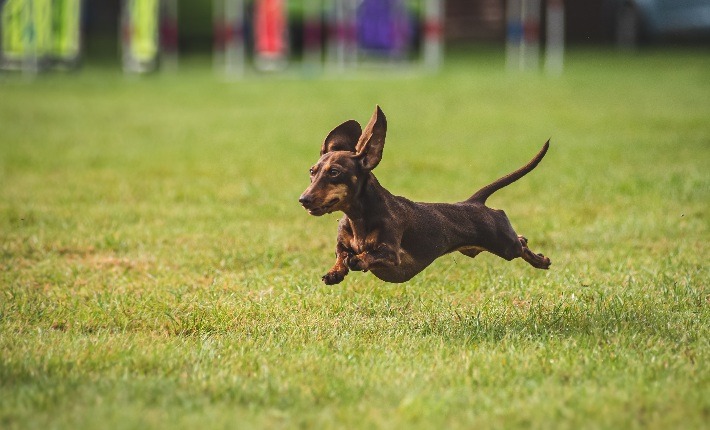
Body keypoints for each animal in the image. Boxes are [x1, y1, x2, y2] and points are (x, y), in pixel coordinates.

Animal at [298, 106, 552, 284]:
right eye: (312, 171)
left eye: (334, 172)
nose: (303, 200)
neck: (358, 218)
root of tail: (474, 202)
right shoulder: (342, 244)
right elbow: (341, 255)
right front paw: (334, 273)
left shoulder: (391, 254)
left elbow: (367, 255)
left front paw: (358, 259)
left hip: (505, 244)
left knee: (521, 242)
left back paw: (541, 260)